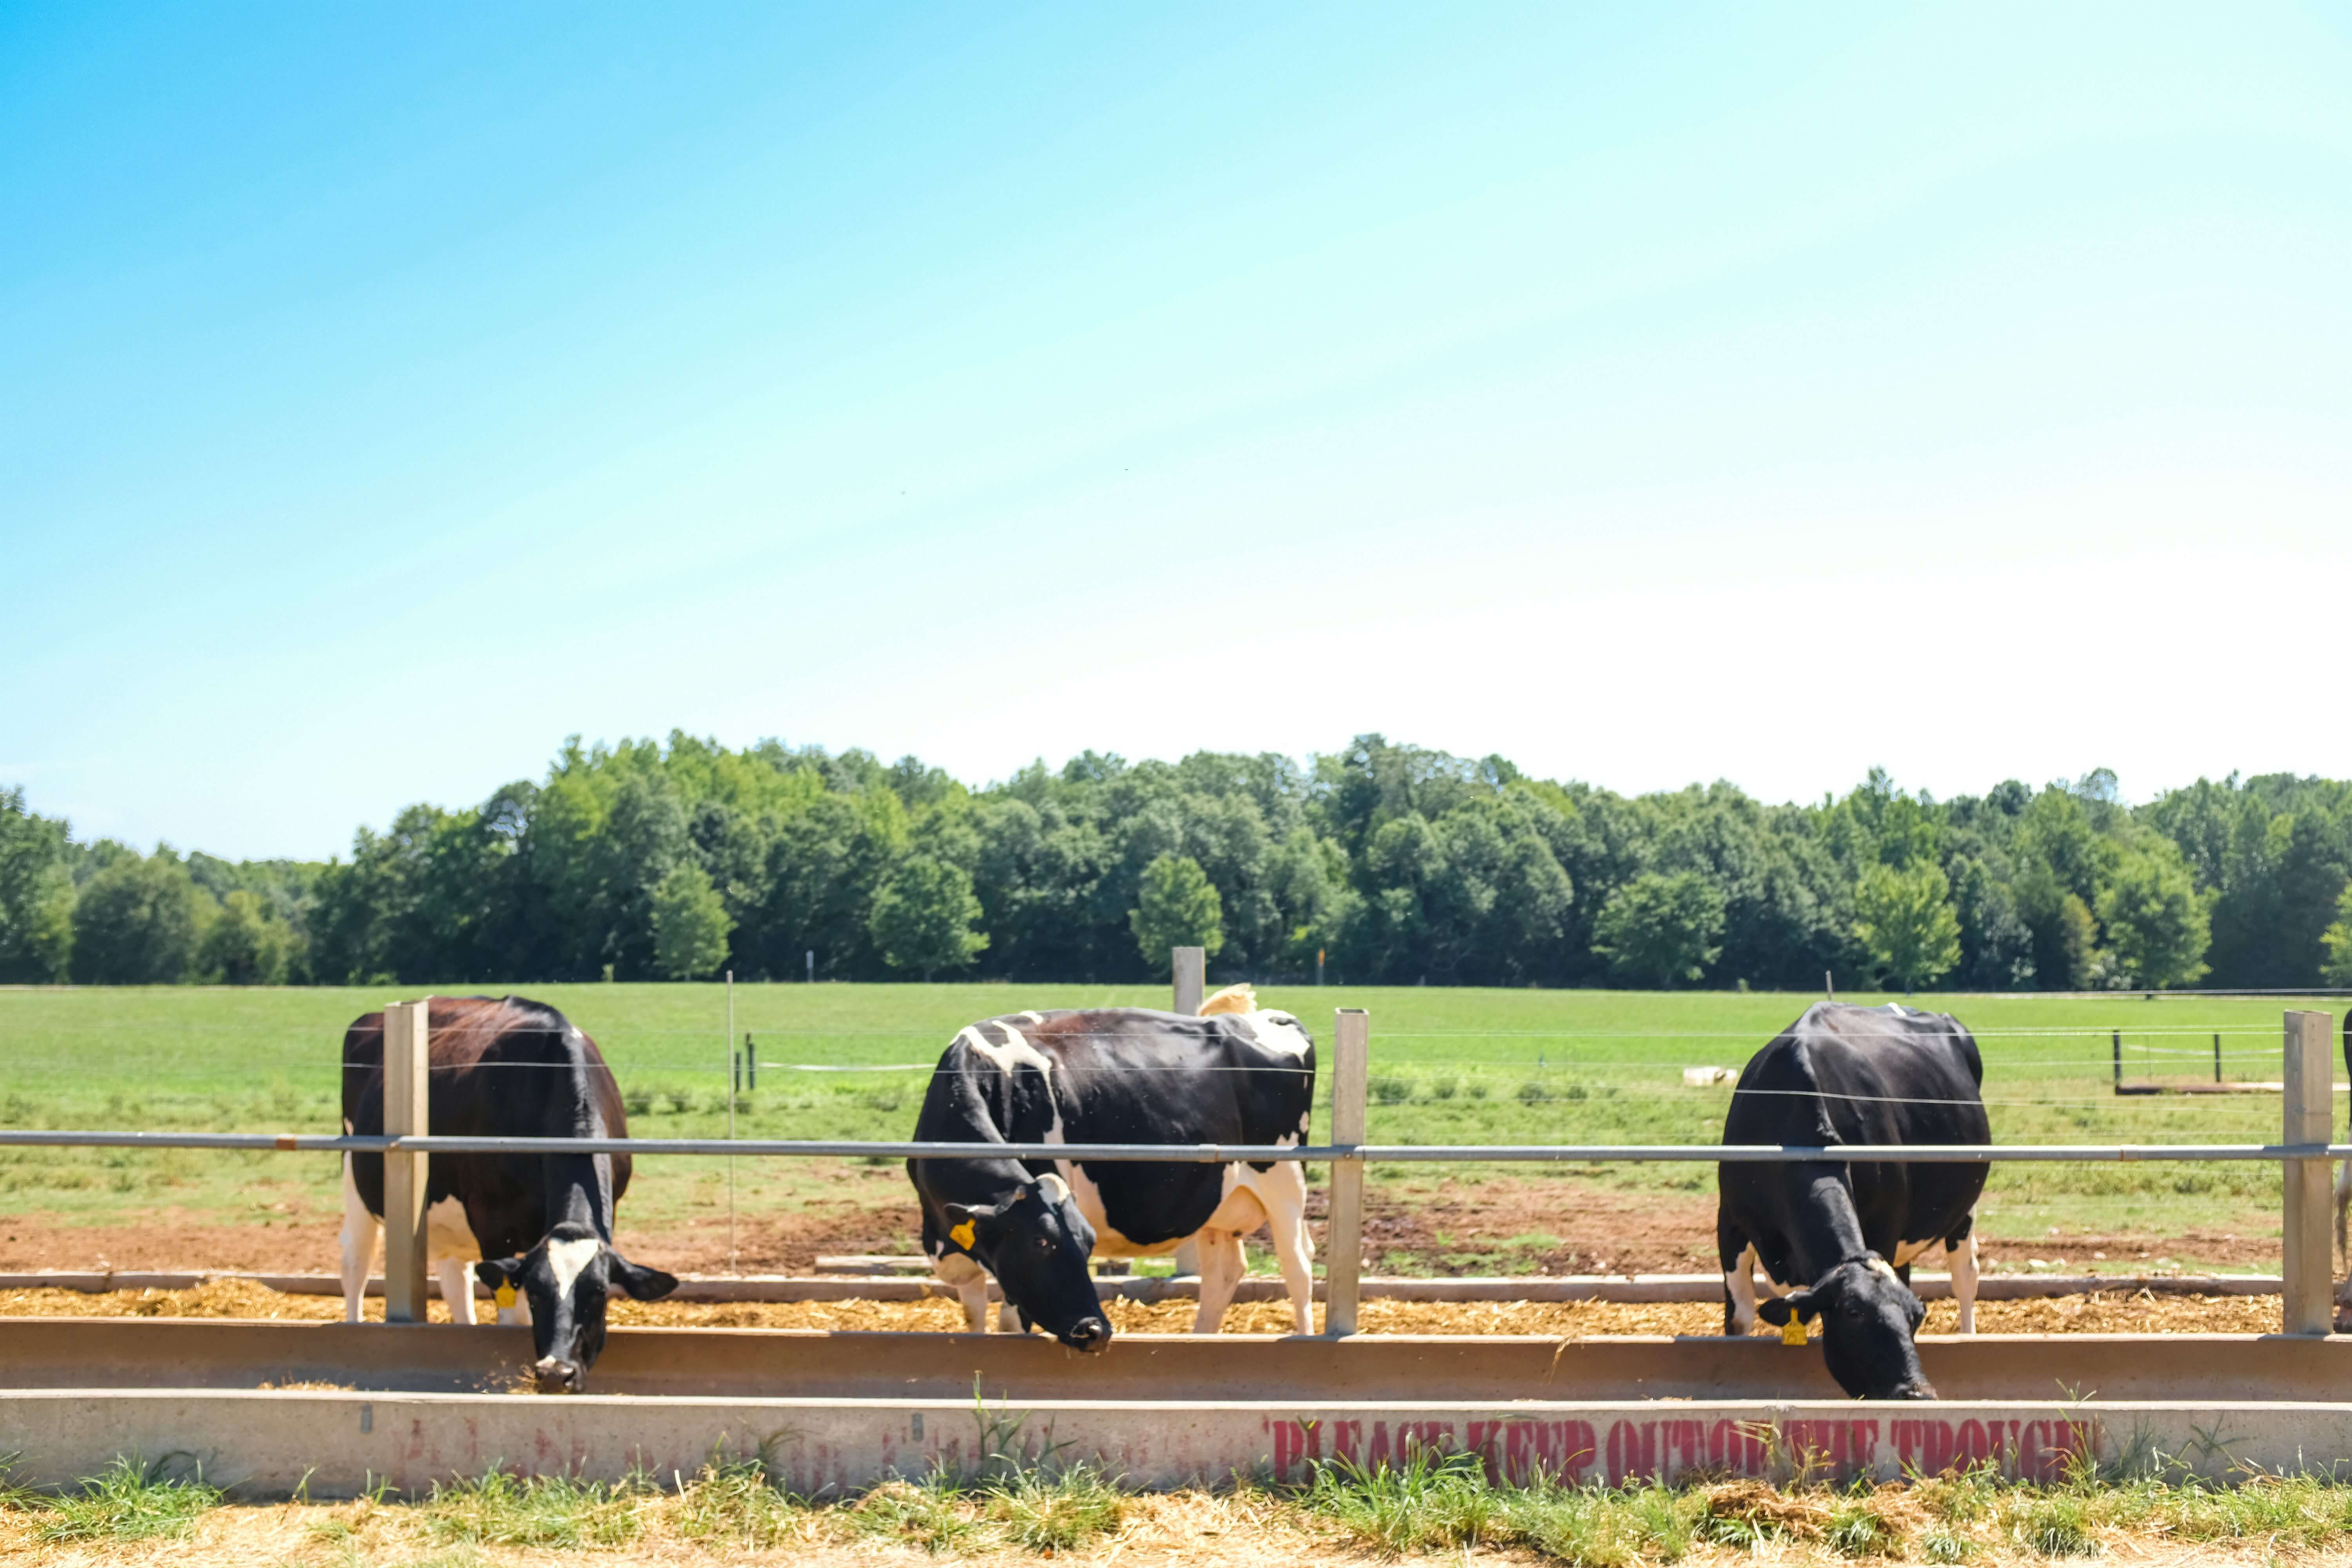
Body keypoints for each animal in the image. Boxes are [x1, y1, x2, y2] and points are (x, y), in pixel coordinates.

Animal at [341, 1001, 677, 1392]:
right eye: (536, 1293)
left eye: (599, 1292)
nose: (556, 1372)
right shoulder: (492, 1224)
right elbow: (511, 1318)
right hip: (355, 1173)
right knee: (356, 1260)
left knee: (455, 1278)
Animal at [903, 992, 1317, 1354]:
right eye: (1041, 1243)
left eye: (1088, 1244)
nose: (1095, 1330)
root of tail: (1266, 1018)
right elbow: (974, 1318)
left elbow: (1009, 1324)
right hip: (1220, 1201)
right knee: (1223, 1274)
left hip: (1284, 1177)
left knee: (1298, 1267)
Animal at [1712, 1001, 1985, 1401]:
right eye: (1854, 1314)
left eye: (1917, 1318)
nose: (1919, 1393)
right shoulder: (1730, 1221)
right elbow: (1740, 1315)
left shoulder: (1885, 1223)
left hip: (1964, 1208)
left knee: (1966, 1276)